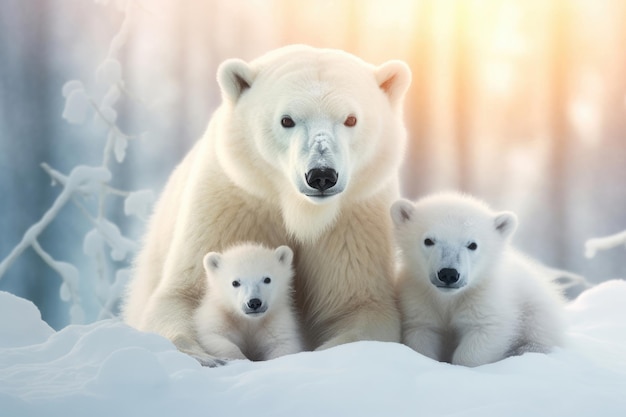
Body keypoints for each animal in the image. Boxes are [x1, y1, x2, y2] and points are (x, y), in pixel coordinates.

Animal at [122, 45, 412, 364]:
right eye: (287, 119)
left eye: (351, 119)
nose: (321, 175)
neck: (301, 211)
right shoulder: (235, 202)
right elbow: (184, 294)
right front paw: (203, 354)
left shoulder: (354, 220)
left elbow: (361, 305)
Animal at [388, 190, 564, 366]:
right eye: (428, 240)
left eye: (472, 244)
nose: (448, 274)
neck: (448, 299)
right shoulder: (418, 296)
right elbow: (421, 332)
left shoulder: (484, 297)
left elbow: (485, 330)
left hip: (536, 309)